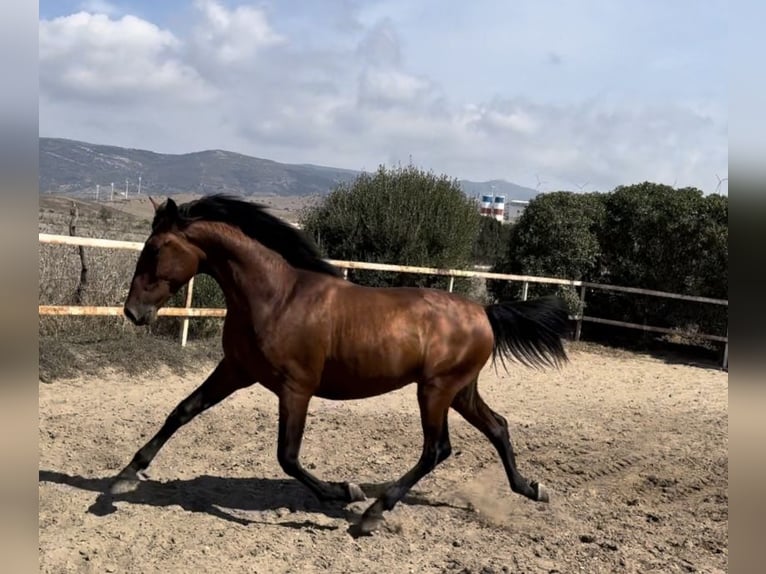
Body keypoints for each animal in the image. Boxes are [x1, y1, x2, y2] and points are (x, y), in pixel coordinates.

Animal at [114, 196, 568, 536]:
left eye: (154, 249)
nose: (133, 312)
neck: (277, 297)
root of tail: (484, 312)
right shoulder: (236, 370)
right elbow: (182, 411)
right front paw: (127, 472)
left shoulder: (295, 388)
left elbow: (287, 456)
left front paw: (344, 492)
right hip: (460, 390)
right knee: (498, 427)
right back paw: (531, 488)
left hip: (435, 390)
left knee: (437, 448)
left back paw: (372, 514)